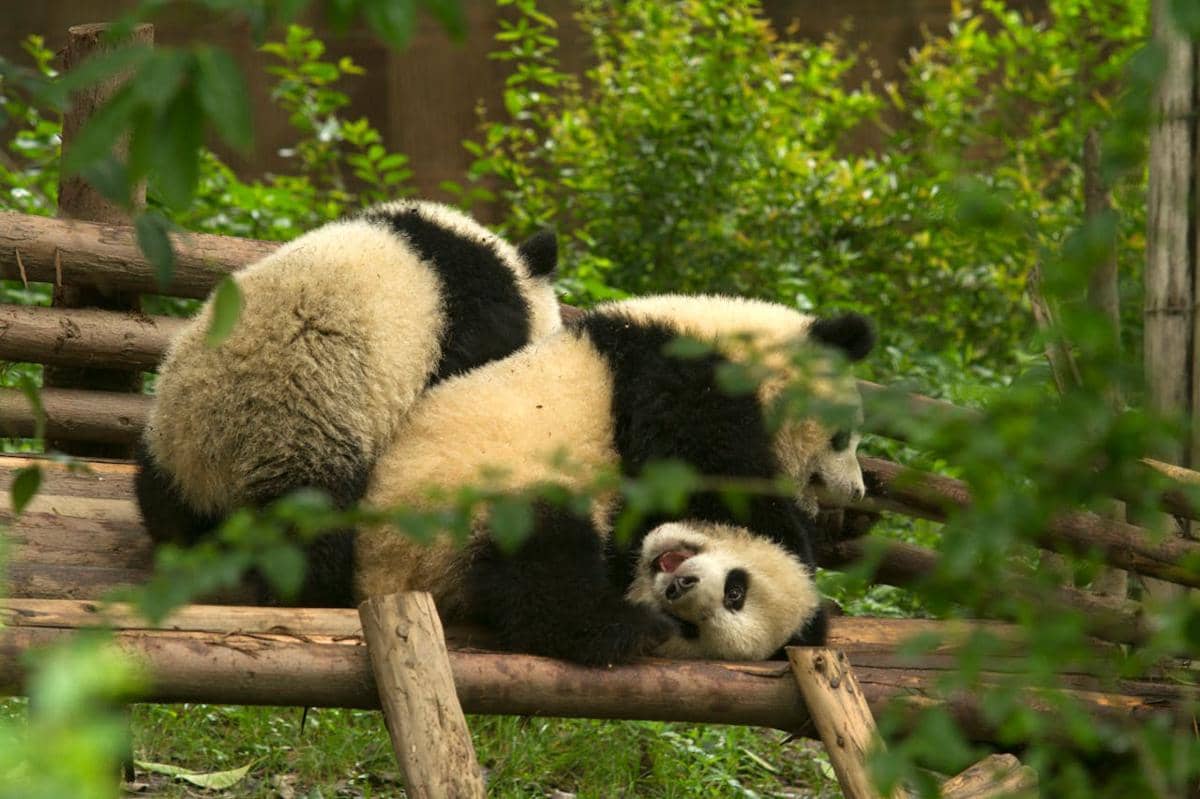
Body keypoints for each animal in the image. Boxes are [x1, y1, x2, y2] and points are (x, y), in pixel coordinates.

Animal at [135, 200, 561, 606]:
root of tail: (206, 468)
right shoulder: (477, 322)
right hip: (297, 431)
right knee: (313, 527)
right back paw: (311, 591)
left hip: (166, 438)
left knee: (161, 505)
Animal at [356, 293, 873, 665]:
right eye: (841, 437)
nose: (856, 491)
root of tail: (379, 575)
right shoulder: (677, 378)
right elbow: (706, 473)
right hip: (458, 504)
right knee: (541, 559)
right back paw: (620, 629)